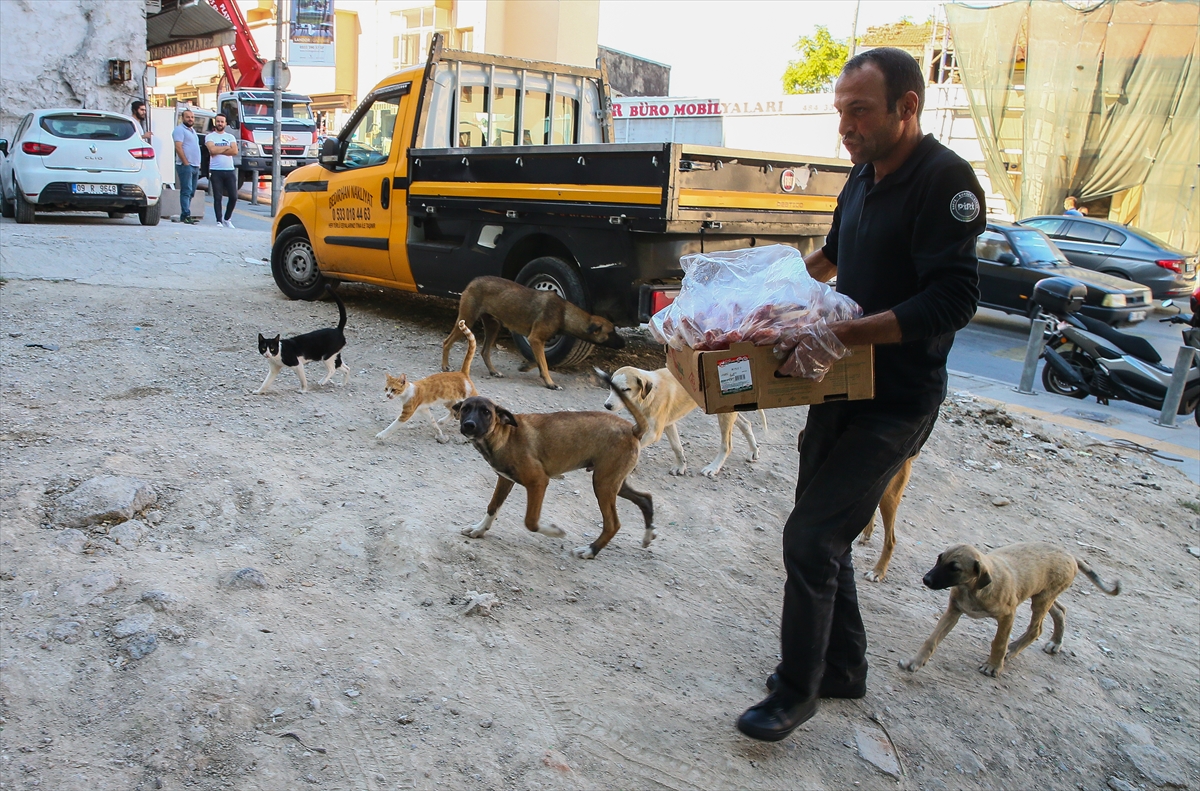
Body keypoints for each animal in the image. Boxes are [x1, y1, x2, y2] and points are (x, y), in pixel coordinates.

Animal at [444, 277, 628, 391]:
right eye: (611, 332)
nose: (624, 343)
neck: (564, 313)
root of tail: (474, 281)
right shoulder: (535, 339)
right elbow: (545, 364)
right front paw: (550, 383)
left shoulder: (538, 342)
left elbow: (542, 361)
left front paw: (526, 366)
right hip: (467, 320)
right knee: (447, 342)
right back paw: (445, 366)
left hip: (493, 326)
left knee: (484, 351)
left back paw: (494, 371)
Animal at [451, 369, 657, 559]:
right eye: (465, 409)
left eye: (486, 412)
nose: (469, 425)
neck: (506, 435)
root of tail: (633, 429)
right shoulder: (505, 480)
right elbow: (492, 507)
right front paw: (478, 529)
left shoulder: (538, 482)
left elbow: (531, 521)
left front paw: (555, 531)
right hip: (613, 481)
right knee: (645, 498)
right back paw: (648, 536)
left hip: (603, 484)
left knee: (613, 523)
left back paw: (590, 550)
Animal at [604, 364, 763, 477]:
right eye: (611, 387)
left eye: (625, 389)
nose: (607, 406)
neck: (648, 395)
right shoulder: (667, 425)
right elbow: (677, 446)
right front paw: (681, 467)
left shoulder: (654, 432)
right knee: (746, 424)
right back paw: (754, 451)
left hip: (724, 414)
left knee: (727, 445)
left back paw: (713, 468)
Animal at [902, 544, 1123, 681]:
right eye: (939, 559)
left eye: (954, 568)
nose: (926, 580)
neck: (972, 588)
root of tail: (1070, 554)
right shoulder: (953, 611)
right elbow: (932, 640)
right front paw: (915, 662)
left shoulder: (1008, 615)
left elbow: (999, 642)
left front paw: (993, 666)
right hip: (1042, 594)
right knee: (1060, 611)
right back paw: (1055, 642)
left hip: (1041, 599)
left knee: (1036, 629)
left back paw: (1015, 648)